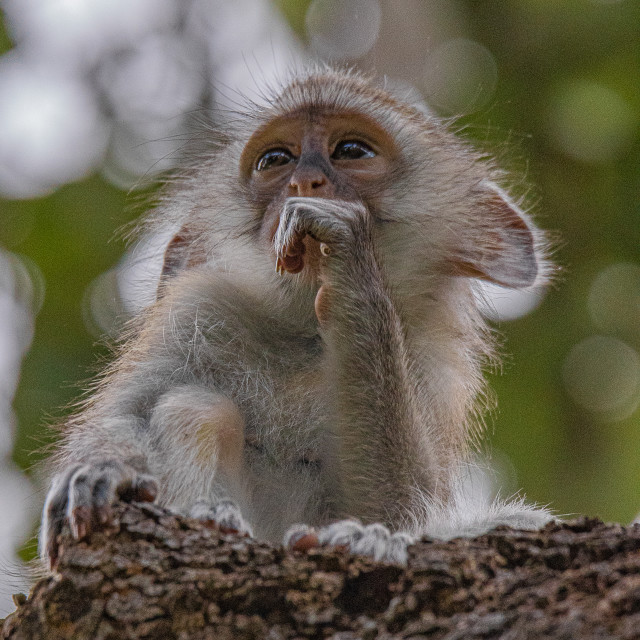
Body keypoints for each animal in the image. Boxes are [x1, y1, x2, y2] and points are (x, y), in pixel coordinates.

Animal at [40, 67, 552, 568]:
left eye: (351, 151)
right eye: (275, 160)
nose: (303, 182)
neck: (306, 337)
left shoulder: (431, 360)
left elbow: (401, 505)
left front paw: (354, 274)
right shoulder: (199, 305)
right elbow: (126, 416)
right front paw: (109, 468)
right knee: (195, 406)